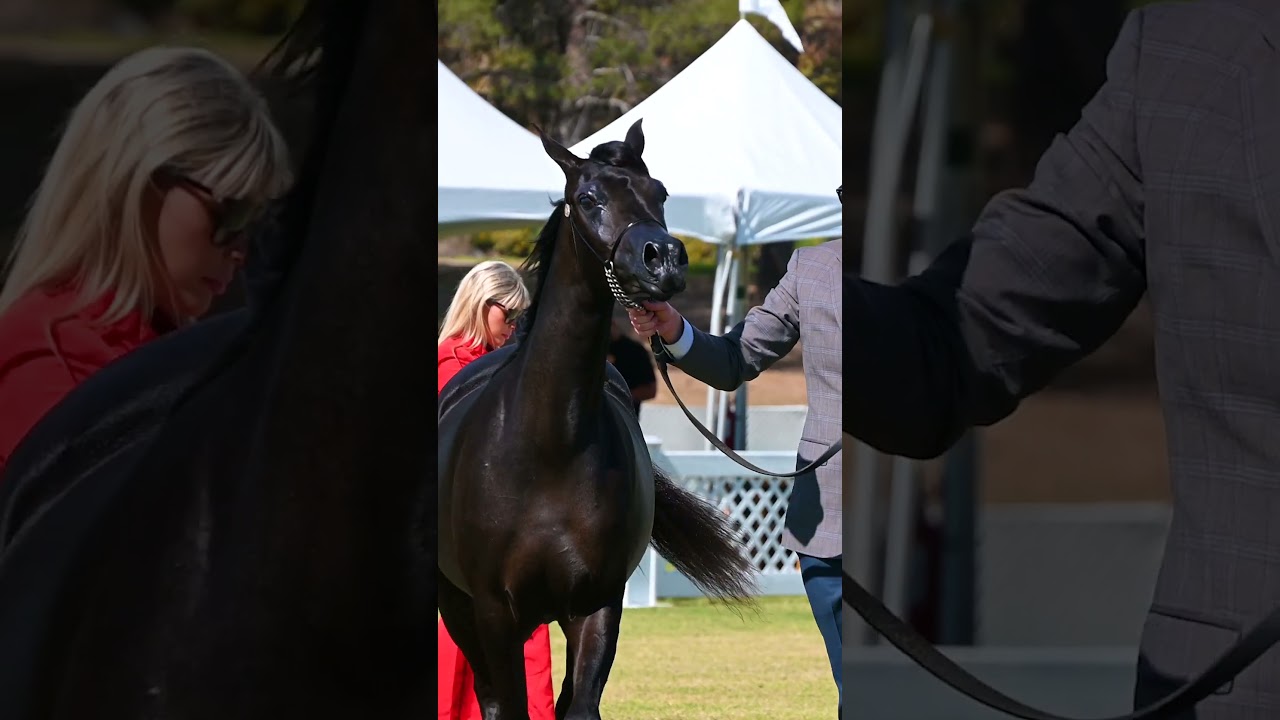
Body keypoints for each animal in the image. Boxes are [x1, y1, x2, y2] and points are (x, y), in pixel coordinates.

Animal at [436, 120, 759, 720]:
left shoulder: (598, 605)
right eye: (588, 199)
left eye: (661, 192)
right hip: (458, 606)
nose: (664, 259)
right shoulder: (493, 611)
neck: (549, 447)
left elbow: (581, 705)